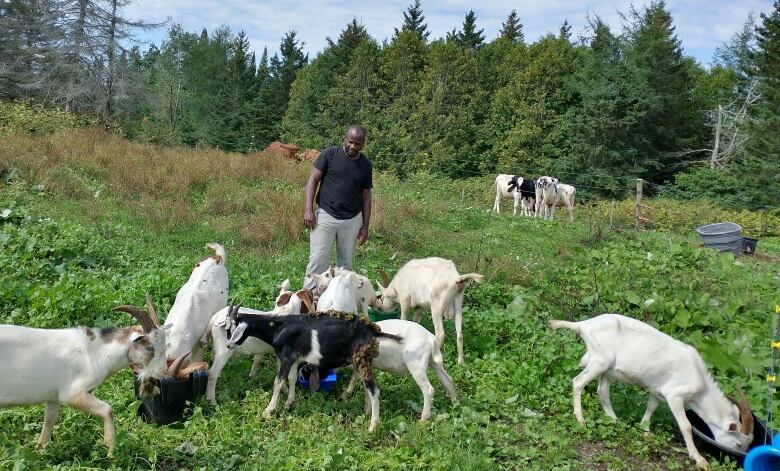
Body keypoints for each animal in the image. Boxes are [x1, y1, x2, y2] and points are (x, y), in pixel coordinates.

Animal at [0, 298, 170, 458]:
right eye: (149, 348)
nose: (163, 372)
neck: (97, 352)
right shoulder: (73, 393)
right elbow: (108, 409)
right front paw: (111, 452)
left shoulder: (53, 395)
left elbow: (50, 419)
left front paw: (40, 449)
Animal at [222, 306, 400, 432]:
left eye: (231, 328)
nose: (228, 345)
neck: (277, 327)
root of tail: (374, 332)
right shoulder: (296, 358)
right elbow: (292, 378)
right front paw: (289, 402)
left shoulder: (286, 356)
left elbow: (278, 382)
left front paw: (268, 410)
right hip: (364, 361)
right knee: (367, 387)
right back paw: (367, 411)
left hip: (360, 360)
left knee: (374, 391)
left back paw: (372, 427)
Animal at [548, 316, 756, 470]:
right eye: (739, 444)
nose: (739, 458)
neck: (700, 383)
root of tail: (584, 324)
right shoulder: (675, 396)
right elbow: (686, 426)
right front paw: (699, 460)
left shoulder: (657, 391)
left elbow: (651, 407)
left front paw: (646, 431)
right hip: (600, 361)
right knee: (578, 383)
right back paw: (581, 420)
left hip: (607, 370)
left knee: (602, 392)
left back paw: (614, 420)